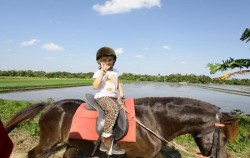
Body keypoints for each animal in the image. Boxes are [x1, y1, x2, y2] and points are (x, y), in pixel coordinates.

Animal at [4, 97, 237, 157]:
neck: (153, 121)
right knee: (33, 153)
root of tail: (49, 105)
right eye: (224, 138)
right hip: (48, 141)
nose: (224, 157)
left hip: (71, 144)